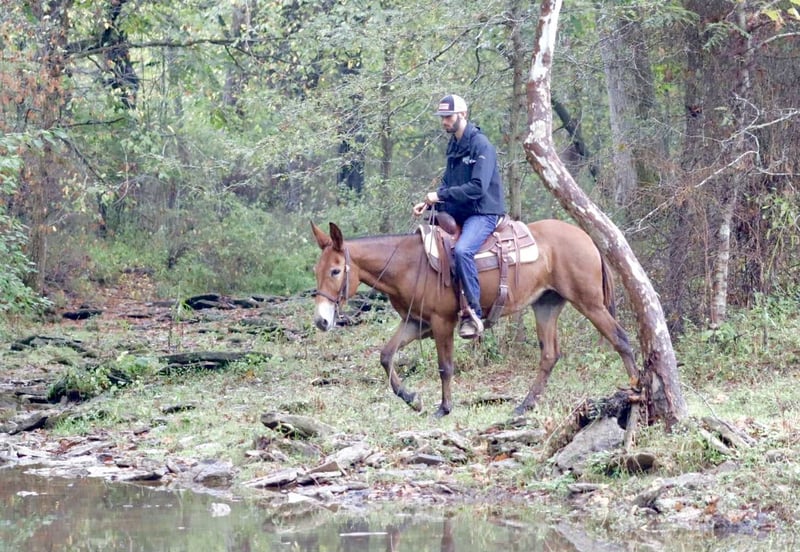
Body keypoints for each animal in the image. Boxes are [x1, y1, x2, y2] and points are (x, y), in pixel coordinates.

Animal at [310, 219, 640, 418]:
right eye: (317, 270)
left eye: (336, 271)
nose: (321, 322)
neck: (409, 265)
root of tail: (587, 237)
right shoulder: (416, 323)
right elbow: (386, 355)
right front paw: (411, 397)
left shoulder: (441, 322)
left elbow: (445, 366)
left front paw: (444, 407)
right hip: (546, 305)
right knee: (549, 354)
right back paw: (525, 405)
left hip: (590, 302)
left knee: (621, 339)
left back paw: (637, 388)